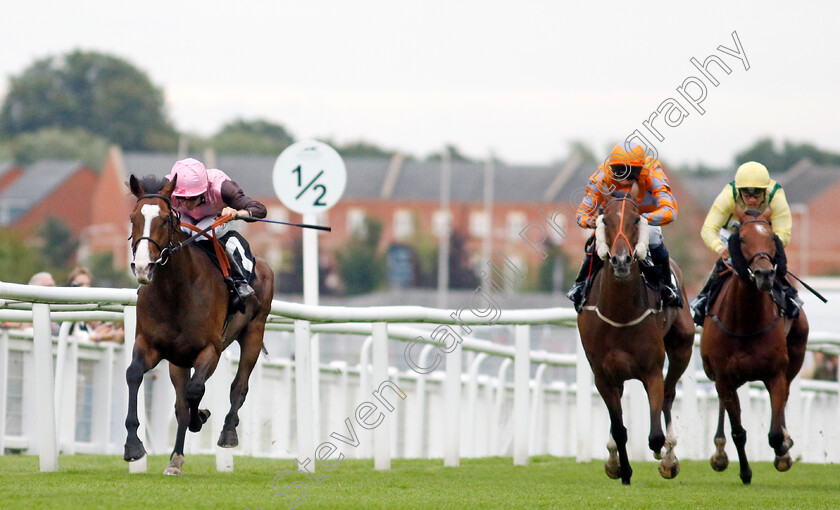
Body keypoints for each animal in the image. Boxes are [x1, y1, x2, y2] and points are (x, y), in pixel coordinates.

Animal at [123, 174, 274, 474]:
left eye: (165, 219)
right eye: (133, 217)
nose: (143, 267)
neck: (175, 292)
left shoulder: (210, 350)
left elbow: (195, 391)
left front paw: (201, 417)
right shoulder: (150, 345)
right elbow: (135, 375)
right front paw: (133, 447)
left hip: (254, 332)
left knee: (239, 385)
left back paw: (228, 432)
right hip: (178, 360)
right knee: (182, 401)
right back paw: (176, 459)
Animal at [576, 190, 696, 482]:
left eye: (634, 219)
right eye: (605, 220)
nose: (621, 260)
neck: (620, 314)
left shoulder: (652, 371)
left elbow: (655, 436)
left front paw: (664, 455)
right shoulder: (603, 375)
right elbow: (619, 428)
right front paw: (622, 469)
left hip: (682, 348)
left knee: (669, 393)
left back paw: (669, 456)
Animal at [700, 205, 812, 484]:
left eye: (772, 237)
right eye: (740, 238)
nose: (764, 274)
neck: (745, 322)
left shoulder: (775, 374)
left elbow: (775, 432)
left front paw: (783, 451)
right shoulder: (724, 378)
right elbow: (738, 431)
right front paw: (745, 471)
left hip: (795, 356)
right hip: (717, 374)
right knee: (723, 406)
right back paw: (719, 453)